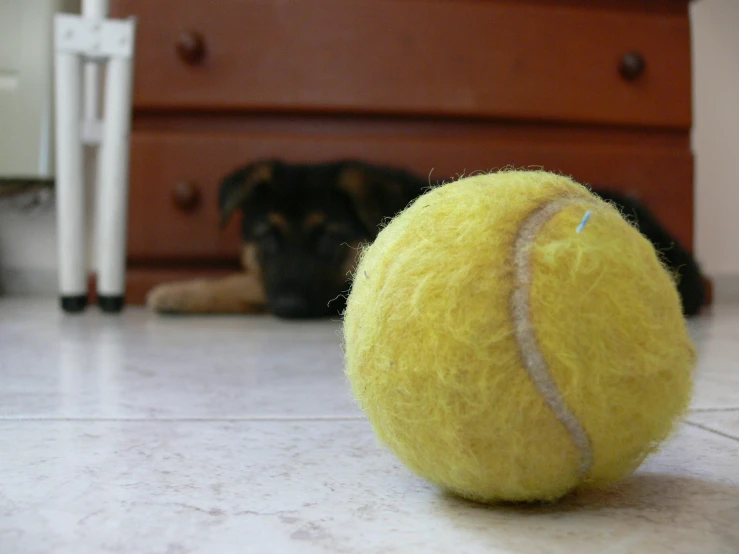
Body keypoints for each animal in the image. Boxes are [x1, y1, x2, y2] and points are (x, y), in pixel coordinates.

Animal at [147, 157, 708, 316]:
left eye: (328, 240)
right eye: (267, 239)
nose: (287, 308)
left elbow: (246, 288)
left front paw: (178, 291)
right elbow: (246, 282)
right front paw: (183, 290)